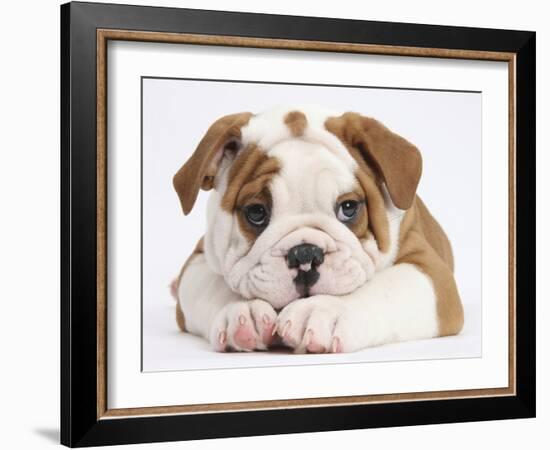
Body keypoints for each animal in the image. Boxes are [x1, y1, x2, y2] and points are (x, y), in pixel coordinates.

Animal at [172, 107, 466, 354]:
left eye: (348, 207)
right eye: (256, 212)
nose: (305, 254)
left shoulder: (432, 274)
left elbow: (384, 287)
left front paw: (324, 312)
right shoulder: (198, 260)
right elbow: (212, 286)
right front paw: (242, 312)